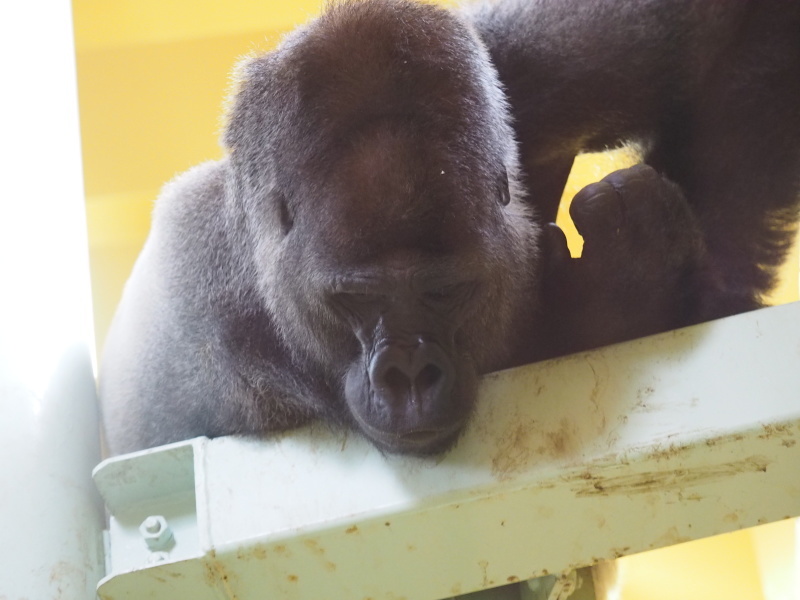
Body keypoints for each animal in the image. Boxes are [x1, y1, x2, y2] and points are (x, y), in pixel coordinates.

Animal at [100, 0, 800, 454]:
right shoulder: (219, 338)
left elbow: (729, 34)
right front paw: (632, 277)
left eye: (444, 291)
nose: (408, 376)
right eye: (354, 299)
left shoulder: (516, 55)